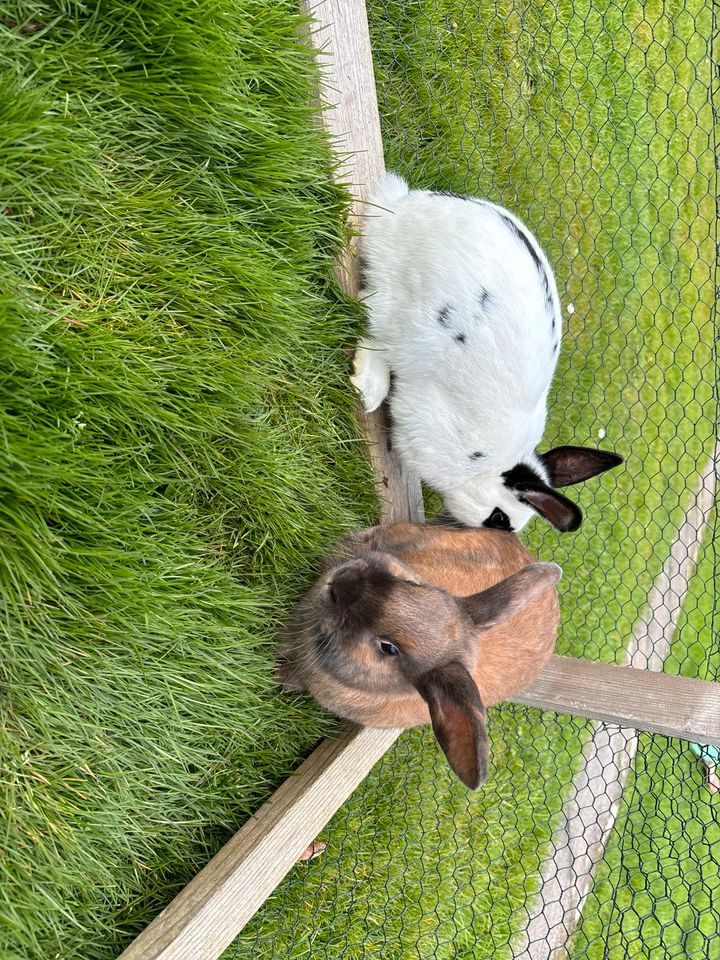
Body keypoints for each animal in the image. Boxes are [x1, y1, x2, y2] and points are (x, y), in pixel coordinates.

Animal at [352, 172, 620, 532]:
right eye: (499, 517)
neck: (487, 466)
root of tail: (405, 208)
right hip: (407, 314)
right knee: (371, 315)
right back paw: (368, 387)